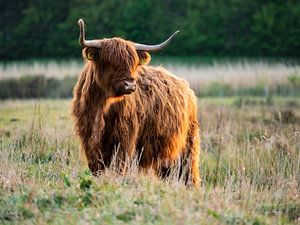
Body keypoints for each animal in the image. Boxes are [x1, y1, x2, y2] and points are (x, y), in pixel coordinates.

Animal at [71, 18, 200, 185]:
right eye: (109, 61)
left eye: (133, 63)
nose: (130, 85)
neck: (102, 106)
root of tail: (187, 87)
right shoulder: (89, 140)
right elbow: (96, 168)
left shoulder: (124, 139)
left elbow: (119, 167)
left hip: (187, 145)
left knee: (188, 172)